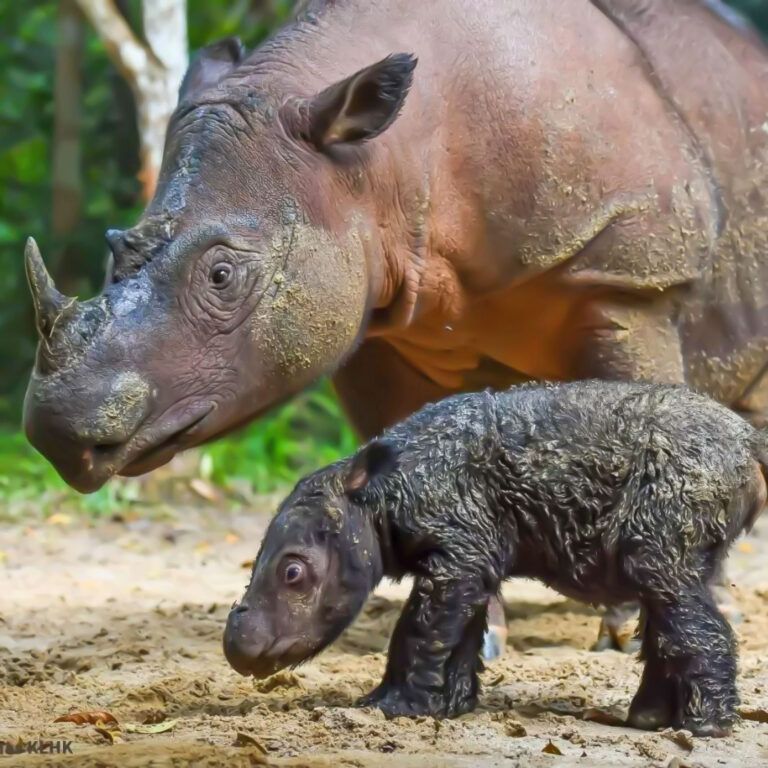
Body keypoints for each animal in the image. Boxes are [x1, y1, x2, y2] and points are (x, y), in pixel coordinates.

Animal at [23, 0, 768, 656]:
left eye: (222, 276)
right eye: (114, 247)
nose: (57, 430)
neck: (377, 167)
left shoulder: (628, 275)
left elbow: (647, 430)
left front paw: (629, 634)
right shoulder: (371, 320)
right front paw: (474, 630)